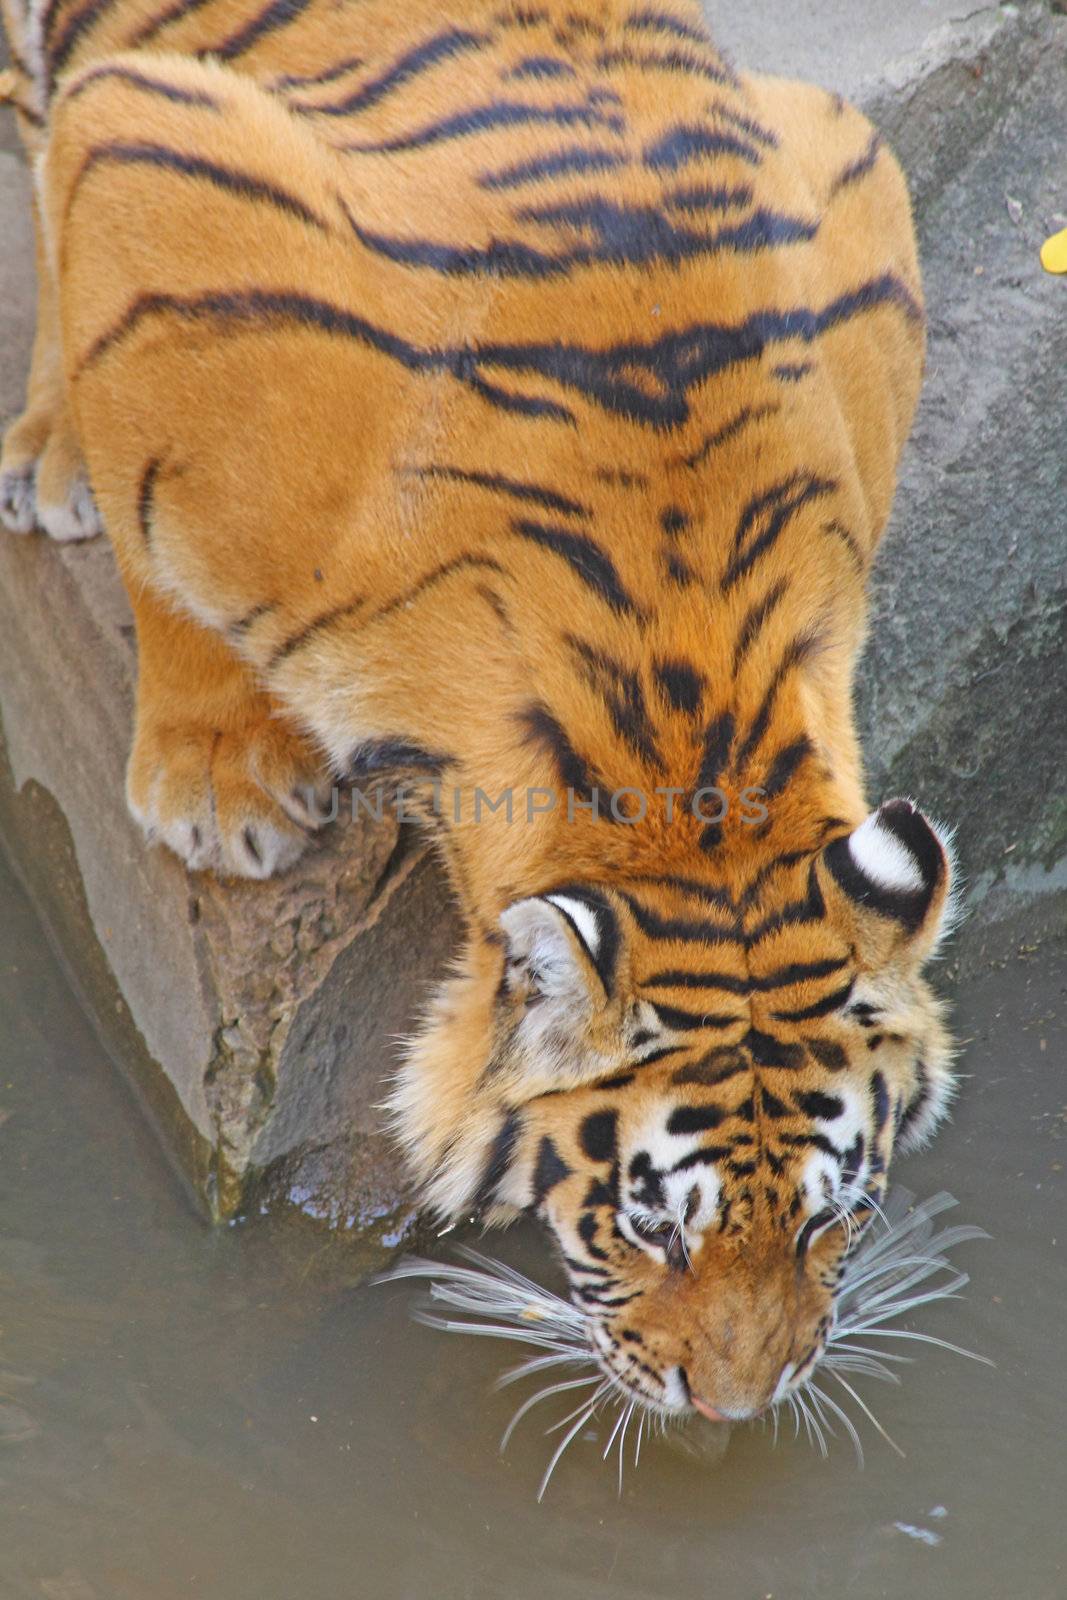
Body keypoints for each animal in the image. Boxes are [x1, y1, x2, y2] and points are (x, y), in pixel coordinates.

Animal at [0, 0, 959, 1427]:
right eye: (650, 1228)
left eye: (825, 1221)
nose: (734, 1410)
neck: (684, 710)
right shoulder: (141, 154)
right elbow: (151, 535)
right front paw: (218, 780)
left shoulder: (850, 171)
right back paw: (50, 450)